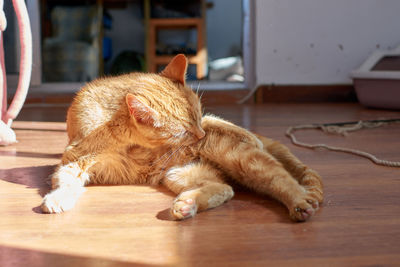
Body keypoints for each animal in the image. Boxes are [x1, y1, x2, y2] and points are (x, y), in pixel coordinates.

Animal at [41, 54, 322, 222]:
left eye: (196, 118)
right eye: (183, 132)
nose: (200, 137)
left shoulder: (207, 120)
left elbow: (219, 121)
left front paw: (245, 134)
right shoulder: (74, 162)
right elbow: (65, 183)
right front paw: (57, 198)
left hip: (242, 160)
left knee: (279, 178)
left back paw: (298, 201)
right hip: (179, 174)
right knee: (226, 189)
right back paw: (187, 205)